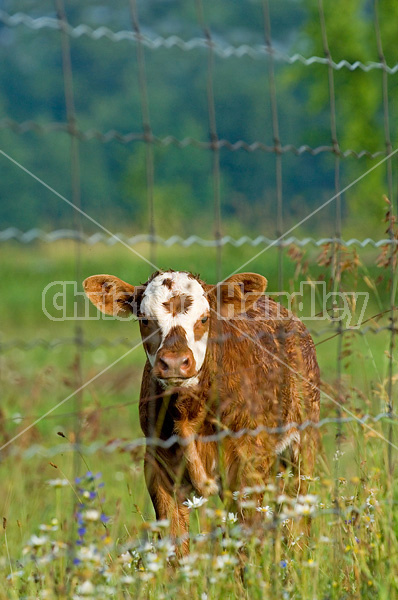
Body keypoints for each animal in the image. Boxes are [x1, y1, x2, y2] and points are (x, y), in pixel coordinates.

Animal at [84, 272, 320, 552]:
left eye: (204, 318)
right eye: (145, 319)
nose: (175, 362)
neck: (189, 412)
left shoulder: (247, 467)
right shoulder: (158, 467)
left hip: (303, 448)